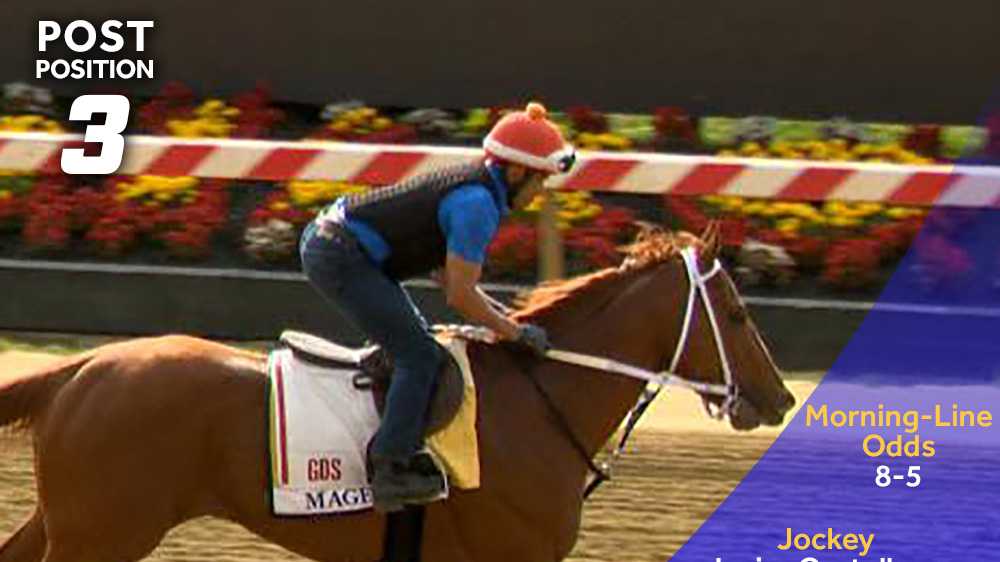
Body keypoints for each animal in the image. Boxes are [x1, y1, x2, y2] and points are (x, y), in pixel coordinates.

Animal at [1, 224, 796, 560]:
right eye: (736, 313)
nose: (781, 399)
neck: (536, 405)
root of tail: (79, 368)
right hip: (103, 533)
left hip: (71, 521)